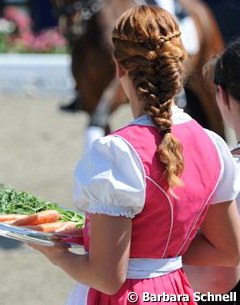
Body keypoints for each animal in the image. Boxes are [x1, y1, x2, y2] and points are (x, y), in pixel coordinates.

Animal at [52, 0, 225, 138]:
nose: (71, 27)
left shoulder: (121, 84)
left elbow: (98, 118)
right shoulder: (89, 95)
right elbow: (100, 123)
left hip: (207, 86)